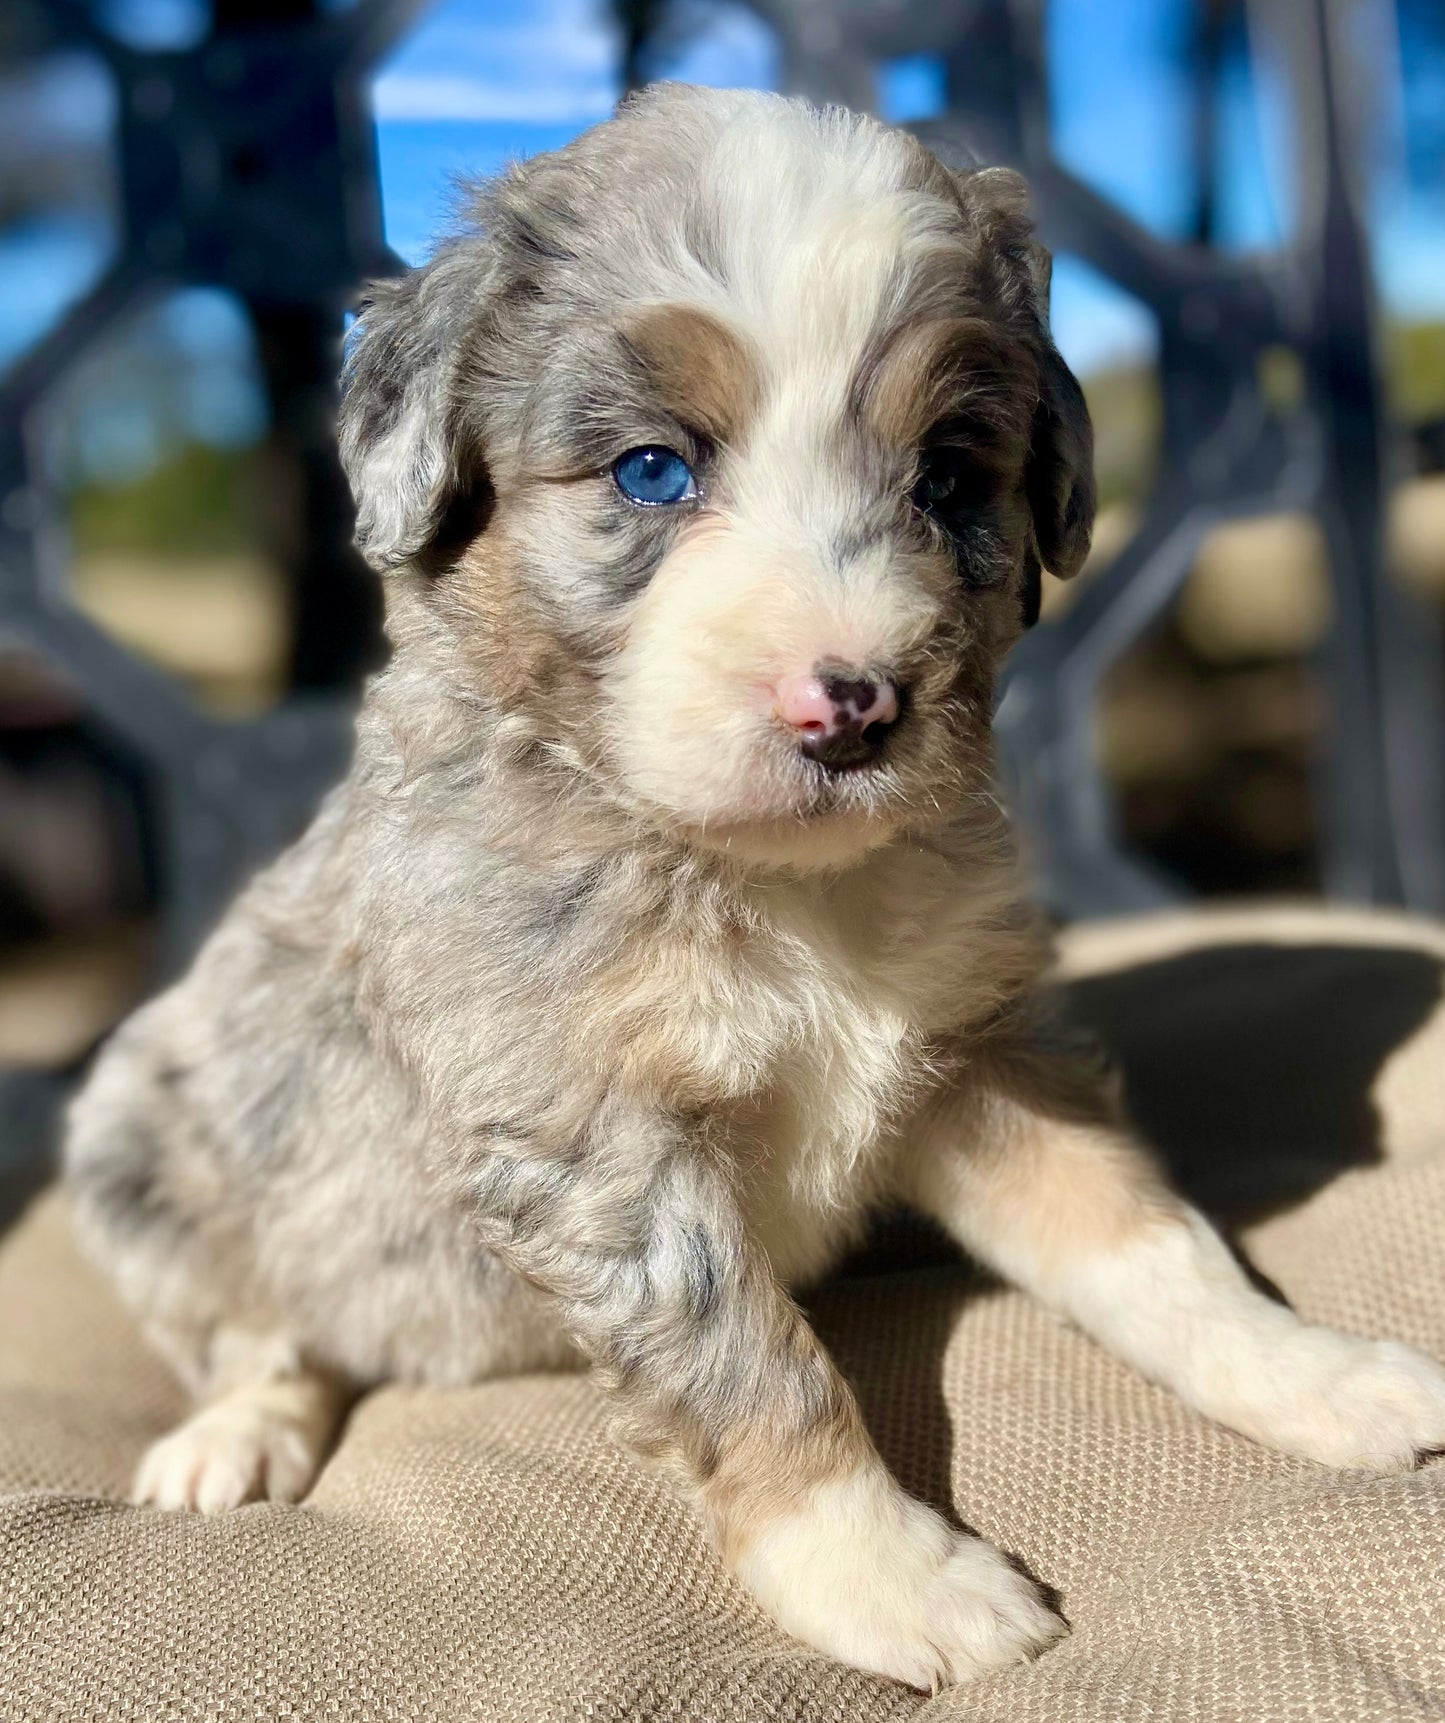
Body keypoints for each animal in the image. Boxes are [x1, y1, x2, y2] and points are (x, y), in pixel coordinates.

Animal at [62, 87, 1445, 1688]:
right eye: (652, 469)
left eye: (948, 480)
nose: (850, 706)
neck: (769, 885)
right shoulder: (598, 1140)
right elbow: (755, 1364)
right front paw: (898, 1576)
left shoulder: (976, 1049)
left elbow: (1147, 1235)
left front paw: (1313, 1374)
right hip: (141, 1136)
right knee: (261, 1333)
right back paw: (232, 1439)